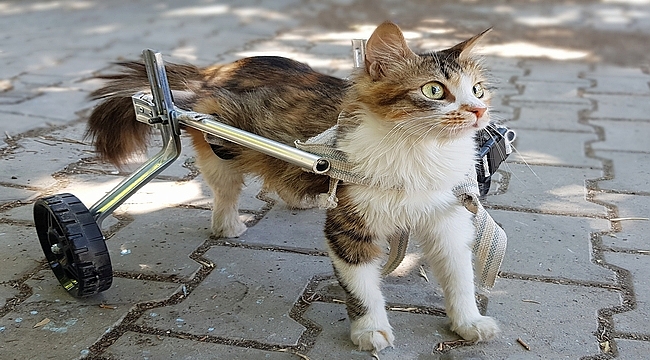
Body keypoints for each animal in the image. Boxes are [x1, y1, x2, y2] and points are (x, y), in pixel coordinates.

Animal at [86, 21, 498, 352]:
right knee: (224, 193)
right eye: (434, 91)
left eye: (477, 90)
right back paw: (228, 225)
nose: (478, 111)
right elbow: (363, 289)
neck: (420, 154)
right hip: (222, 148)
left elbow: (460, 277)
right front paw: (370, 330)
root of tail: (213, 72)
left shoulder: (449, 218)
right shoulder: (349, 228)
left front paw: (468, 322)